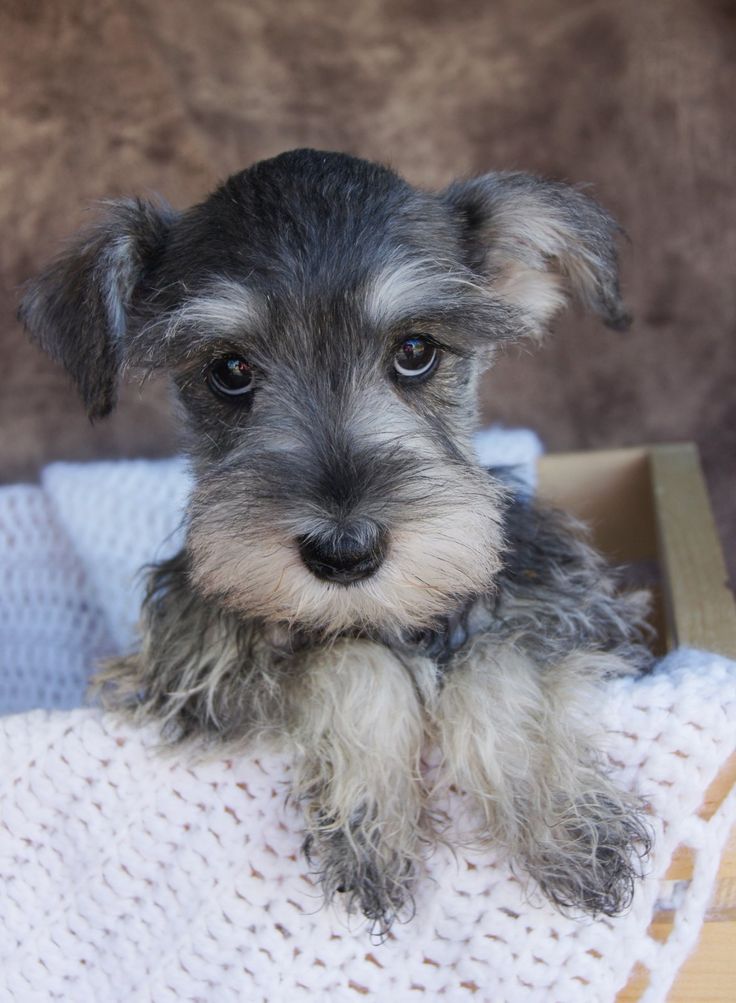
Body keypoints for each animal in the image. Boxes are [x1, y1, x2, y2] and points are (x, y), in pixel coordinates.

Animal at [18, 146, 649, 930]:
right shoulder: (194, 675)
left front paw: (562, 819)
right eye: (229, 370)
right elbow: (347, 657)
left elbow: (503, 661)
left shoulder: (566, 601)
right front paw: (370, 815)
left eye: (416, 349)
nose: (344, 553)